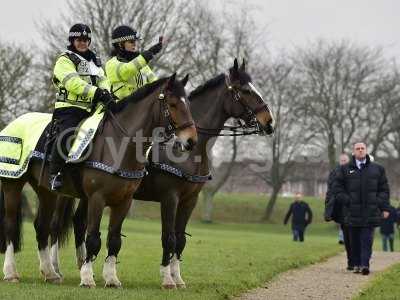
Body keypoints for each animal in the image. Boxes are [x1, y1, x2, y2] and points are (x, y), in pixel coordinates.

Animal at [0, 74, 197, 288]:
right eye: (173, 104)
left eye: (188, 104)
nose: (191, 141)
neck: (119, 144)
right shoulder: (97, 198)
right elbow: (93, 237)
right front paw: (87, 277)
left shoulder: (124, 201)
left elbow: (114, 239)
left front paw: (111, 278)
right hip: (13, 184)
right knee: (10, 226)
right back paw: (11, 272)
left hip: (46, 192)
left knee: (42, 227)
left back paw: (50, 272)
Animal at [55, 58, 276, 288]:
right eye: (245, 91)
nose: (269, 122)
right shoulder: (170, 198)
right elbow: (168, 237)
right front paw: (168, 278)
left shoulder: (189, 200)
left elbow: (180, 239)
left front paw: (177, 277)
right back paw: (56, 270)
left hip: (87, 196)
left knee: (78, 223)